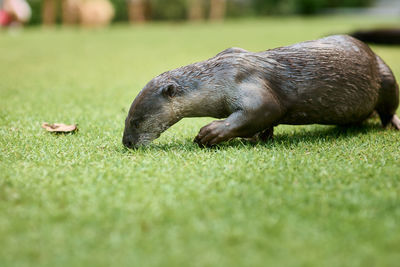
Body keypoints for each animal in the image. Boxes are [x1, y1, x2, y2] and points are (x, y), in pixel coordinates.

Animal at [122, 34, 400, 150]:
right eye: (126, 119)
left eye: (136, 121)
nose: (127, 143)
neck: (219, 76)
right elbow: (265, 122)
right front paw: (258, 137)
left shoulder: (248, 83)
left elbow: (267, 108)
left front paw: (211, 133)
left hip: (385, 77)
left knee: (388, 108)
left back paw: (392, 123)